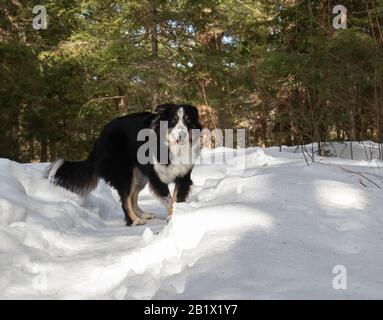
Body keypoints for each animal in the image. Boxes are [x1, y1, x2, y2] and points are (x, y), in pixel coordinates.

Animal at [46, 104, 202, 226]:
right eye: (174, 120)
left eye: (188, 121)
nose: (182, 135)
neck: (174, 147)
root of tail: (99, 139)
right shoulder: (156, 178)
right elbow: (169, 200)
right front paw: (172, 218)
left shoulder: (183, 177)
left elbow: (177, 199)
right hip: (124, 174)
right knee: (125, 201)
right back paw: (134, 221)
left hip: (139, 176)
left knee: (133, 196)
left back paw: (142, 215)